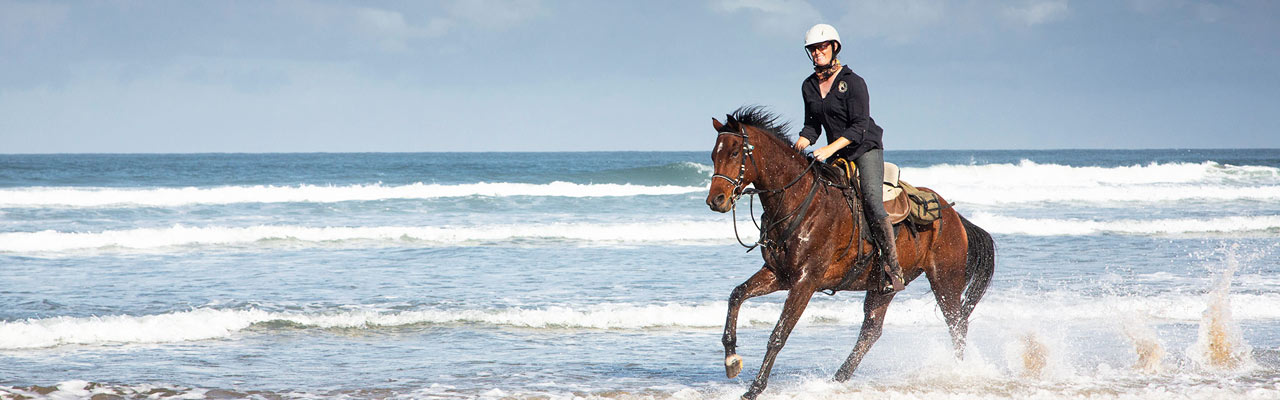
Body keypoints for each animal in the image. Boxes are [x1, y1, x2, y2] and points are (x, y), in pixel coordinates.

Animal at [706, 107, 993, 400]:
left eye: (734, 153)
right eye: (714, 155)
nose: (715, 201)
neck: (798, 201)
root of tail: (954, 214)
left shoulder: (805, 282)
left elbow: (779, 334)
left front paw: (755, 388)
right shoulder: (779, 275)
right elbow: (737, 295)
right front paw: (731, 360)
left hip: (945, 280)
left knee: (957, 324)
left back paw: (957, 372)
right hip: (883, 288)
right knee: (871, 332)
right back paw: (838, 379)